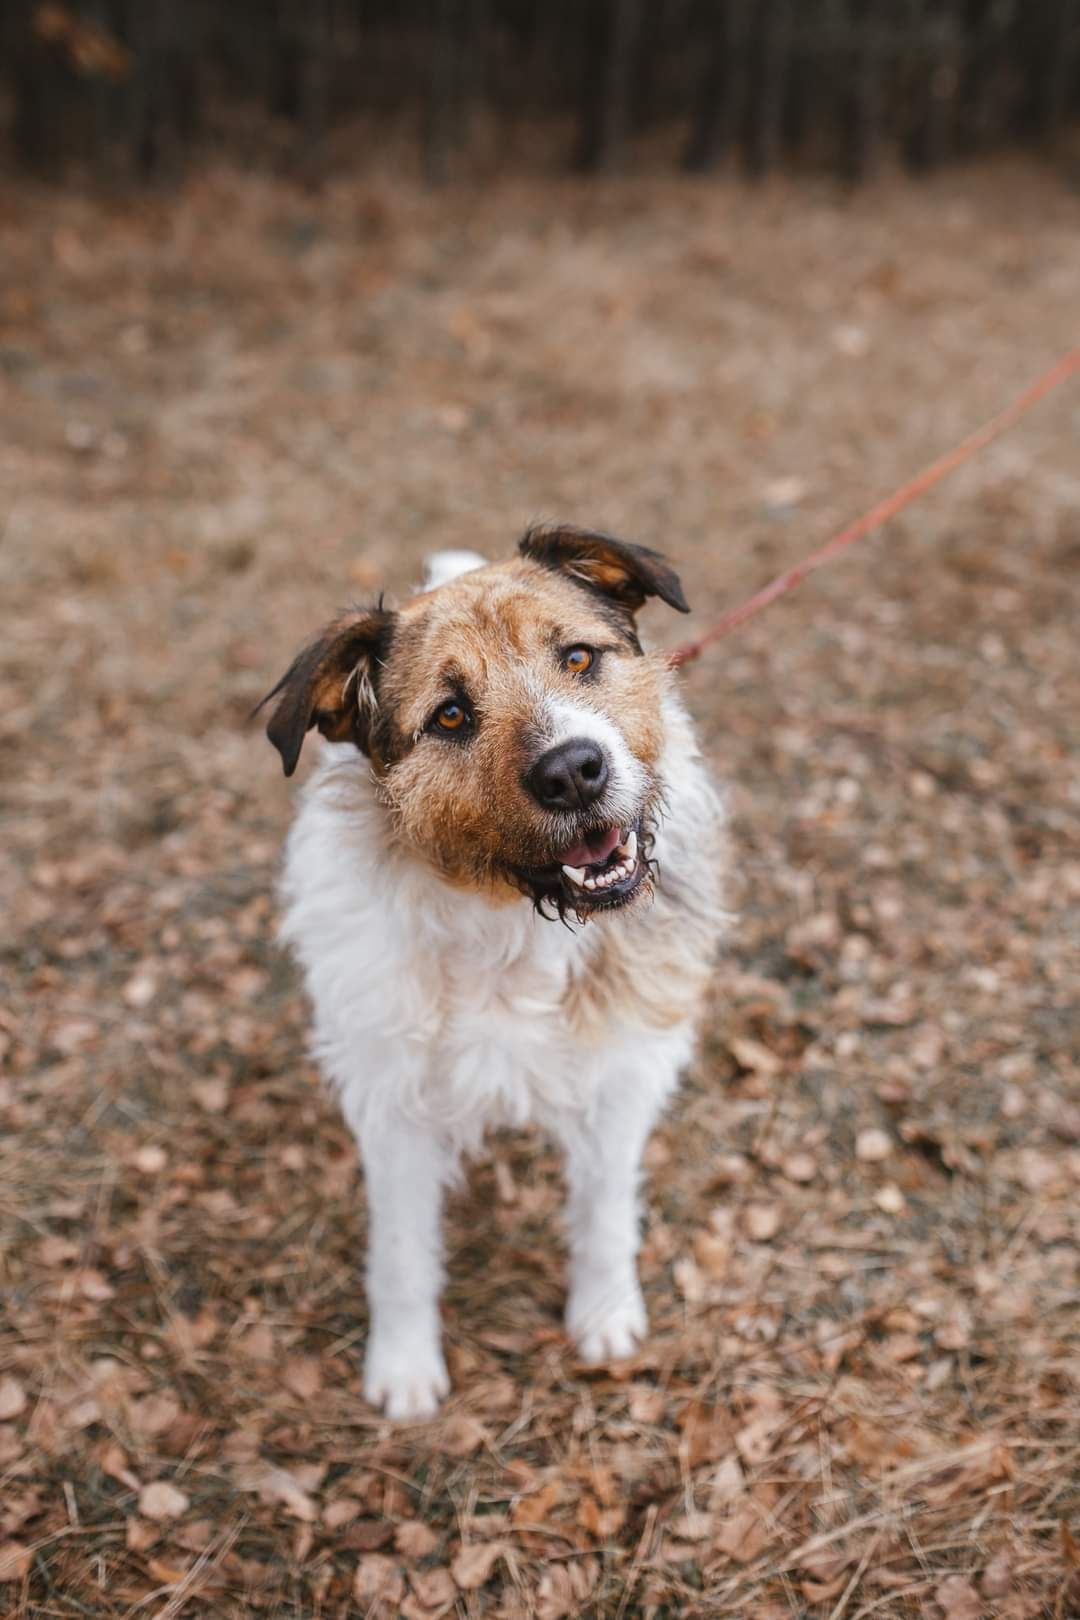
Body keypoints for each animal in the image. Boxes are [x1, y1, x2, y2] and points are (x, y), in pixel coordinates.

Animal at [259, 528, 725, 1419]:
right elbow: (403, 1250)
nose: (573, 770)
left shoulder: (618, 1074)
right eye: (450, 715)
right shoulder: (395, 1104)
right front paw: (404, 1367)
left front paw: (603, 1316)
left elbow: (603, 1212)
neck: (512, 922)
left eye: (577, 658)